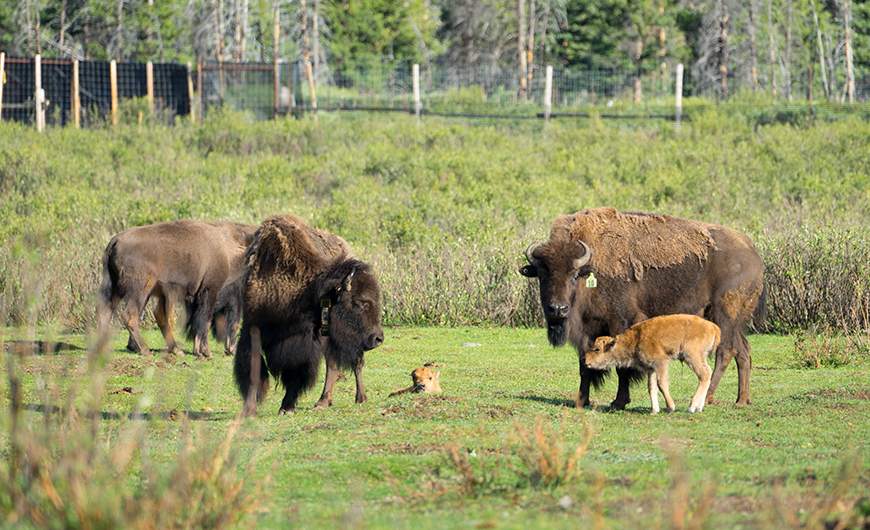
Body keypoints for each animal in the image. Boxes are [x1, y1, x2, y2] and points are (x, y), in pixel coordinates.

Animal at [97, 220, 257, 357]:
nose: (232, 350)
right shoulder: (211, 290)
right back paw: (145, 350)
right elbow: (204, 320)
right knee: (130, 316)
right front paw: (205, 352)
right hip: (140, 290)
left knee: (106, 312)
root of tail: (115, 240)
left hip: (118, 289)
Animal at [233, 214, 384, 417]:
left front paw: (286, 407)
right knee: (336, 364)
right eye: (360, 302)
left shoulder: (304, 342)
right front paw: (249, 409)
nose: (378, 338)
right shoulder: (252, 328)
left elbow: (297, 371)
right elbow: (253, 368)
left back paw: (355, 398)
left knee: (350, 363)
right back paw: (326, 401)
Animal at [519, 208, 765, 409]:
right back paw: (741, 400)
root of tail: (753, 253)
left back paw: (709, 398)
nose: (557, 309)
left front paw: (618, 402)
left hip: (724, 316)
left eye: (573, 275)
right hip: (733, 322)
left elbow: (621, 366)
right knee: (743, 351)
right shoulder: (587, 330)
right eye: (542, 274)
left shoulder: (620, 322)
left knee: (726, 351)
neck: (591, 271)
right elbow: (584, 364)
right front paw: (582, 401)